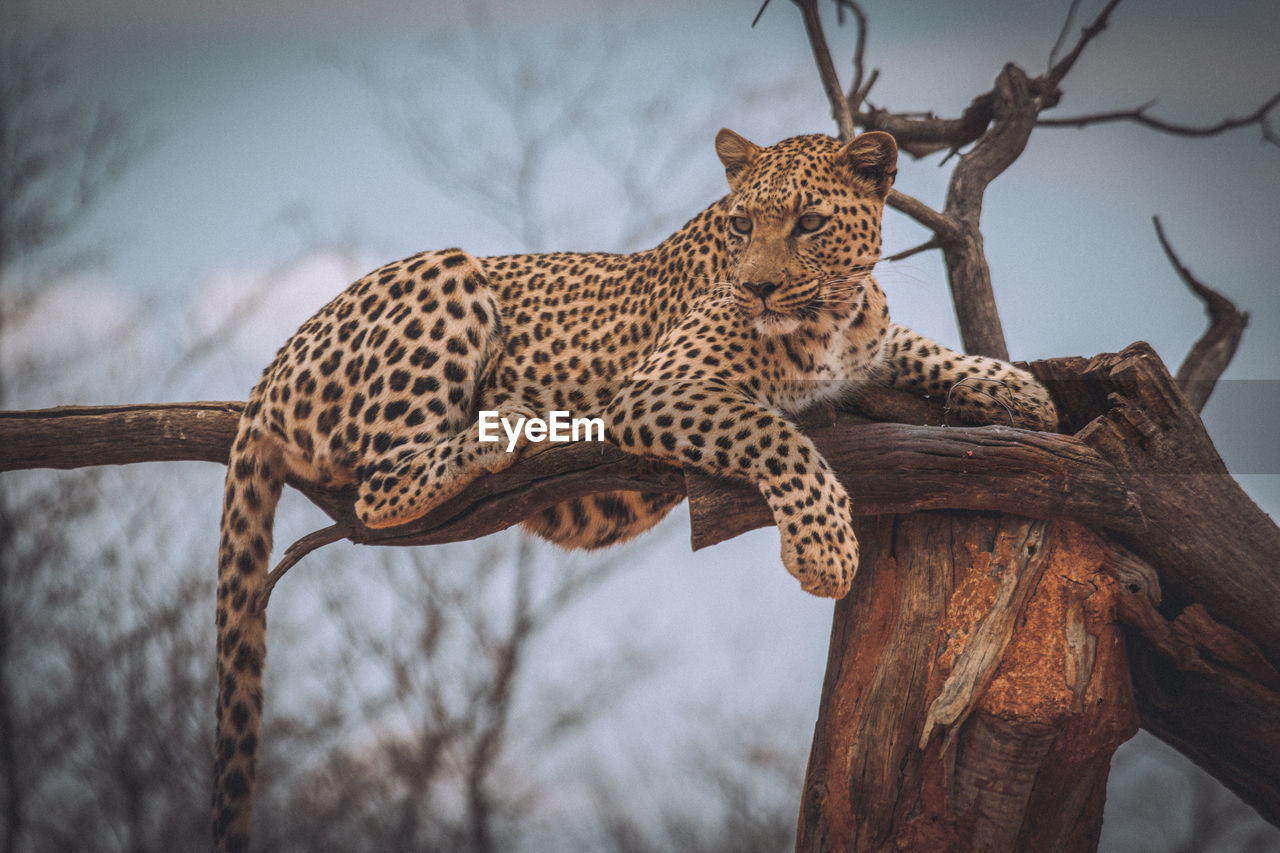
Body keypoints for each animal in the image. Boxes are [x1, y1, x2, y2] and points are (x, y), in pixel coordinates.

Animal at [215, 124, 1059, 845]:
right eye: (742, 226)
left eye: (811, 221)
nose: (757, 289)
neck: (833, 312)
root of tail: (267, 372)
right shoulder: (660, 388)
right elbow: (778, 433)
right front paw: (823, 548)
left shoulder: (866, 338)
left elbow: (915, 344)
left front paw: (1014, 388)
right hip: (446, 272)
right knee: (380, 482)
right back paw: (509, 425)